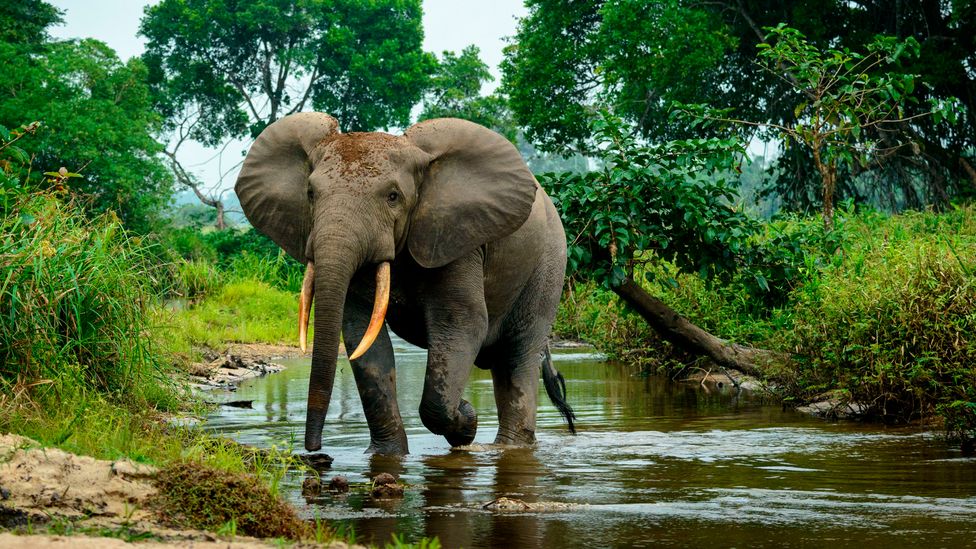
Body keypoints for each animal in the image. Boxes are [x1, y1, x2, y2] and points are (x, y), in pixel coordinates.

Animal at [234, 112, 576, 454]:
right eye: (310, 194)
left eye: (393, 197)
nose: (314, 449)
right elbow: (362, 335)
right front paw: (386, 455)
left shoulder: (457, 238)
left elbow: (462, 323)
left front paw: (466, 421)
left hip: (549, 264)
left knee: (519, 354)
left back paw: (509, 448)